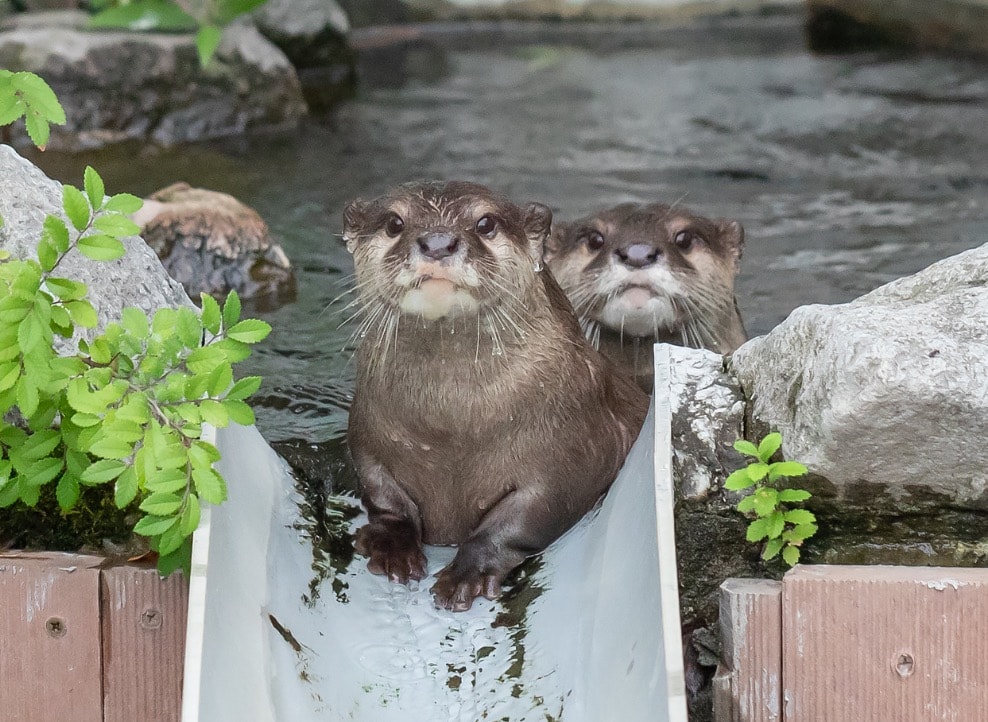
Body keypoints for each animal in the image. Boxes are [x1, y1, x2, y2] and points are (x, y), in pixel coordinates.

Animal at [342, 180, 648, 608]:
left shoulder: (574, 457)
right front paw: (393, 549)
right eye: (394, 223)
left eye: (485, 223)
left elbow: (520, 519)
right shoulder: (368, 441)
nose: (438, 242)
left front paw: (467, 575)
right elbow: (384, 497)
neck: (450, 431)